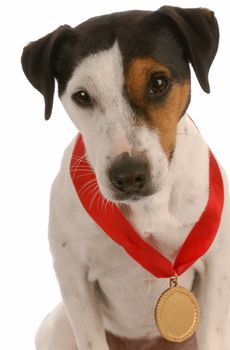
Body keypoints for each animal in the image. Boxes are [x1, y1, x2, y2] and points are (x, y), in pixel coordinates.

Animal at [21, 5, 230, 350]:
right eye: (82, 96)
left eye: (158, 82)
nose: (129, 175)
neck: (149, 209)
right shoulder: (74, 278)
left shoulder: (216, 268)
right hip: (55, 328)